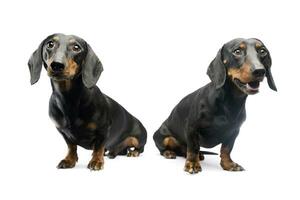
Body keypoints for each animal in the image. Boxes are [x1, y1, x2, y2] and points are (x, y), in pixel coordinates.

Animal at [27, 34, 147, 170]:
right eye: (50, 44)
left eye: (76, 47)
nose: (57, 65)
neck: (69, 98)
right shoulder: (63, 132)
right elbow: (71, 146)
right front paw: (69, 160)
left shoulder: (103, 130)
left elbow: (98, 147)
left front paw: (96, 161)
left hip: (138, 139)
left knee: (139, 148)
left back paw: (133, 152)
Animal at [154, 38, 278, 173]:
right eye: (237, 51)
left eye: (262, 51)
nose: (260, 71)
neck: (229, 104)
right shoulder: (192, 128)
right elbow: (193, 148)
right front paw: (192, 163)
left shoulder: (234, 132)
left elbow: (226, 149)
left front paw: (228, 164)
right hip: (164, 137)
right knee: (167, 149)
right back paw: (169, 153)